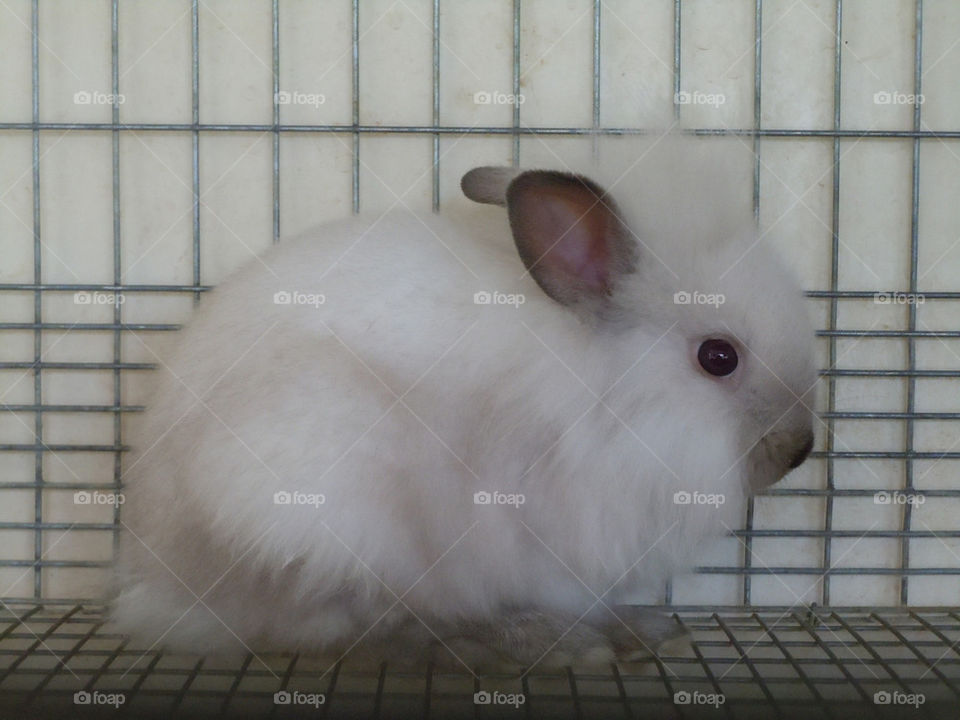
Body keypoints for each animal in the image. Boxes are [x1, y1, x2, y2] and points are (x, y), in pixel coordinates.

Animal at [111, 135, 816, 672]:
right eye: (717, 357)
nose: (800, 449)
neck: (604, 392)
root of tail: (162, 582)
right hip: (315, 511)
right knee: (364, 626)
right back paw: (530, 641)